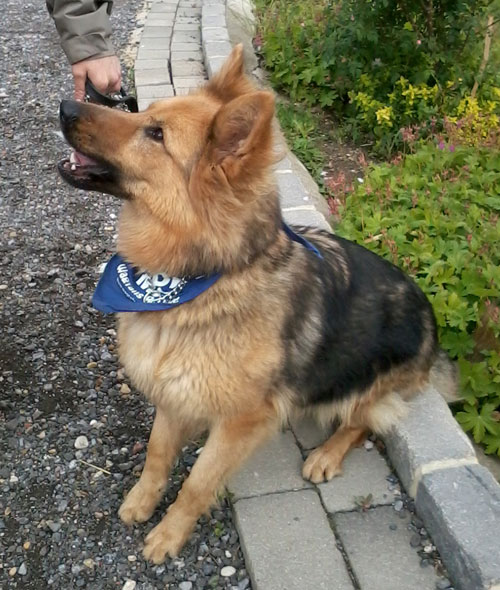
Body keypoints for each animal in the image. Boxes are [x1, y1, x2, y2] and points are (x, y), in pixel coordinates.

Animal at [56, 45, 456, 564]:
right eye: (143, 112)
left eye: (156, 134)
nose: (66, 106)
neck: (196, 277)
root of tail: (431, 320)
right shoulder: (173, 391)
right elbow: (158, 454)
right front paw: (142, 501)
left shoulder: (242, 421)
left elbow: (198, 482)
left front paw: (169, 534)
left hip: (363, 382)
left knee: (363, 423)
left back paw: (325, 455)